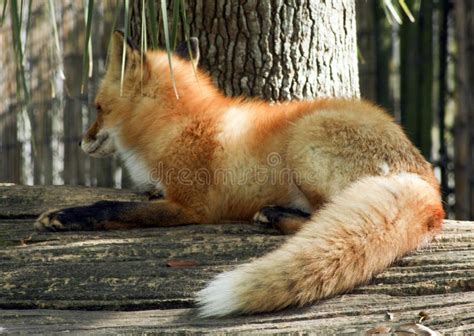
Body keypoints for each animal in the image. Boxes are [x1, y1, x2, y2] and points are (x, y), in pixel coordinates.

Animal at [34, 32, 444, 318]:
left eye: (98, 108)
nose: (81, 141)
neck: (176, 126)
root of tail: (428, 183)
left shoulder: (191, 207)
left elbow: (112, 206)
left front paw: (65, 216)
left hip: (303, 143)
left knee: (323, 216)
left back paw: (275, 215)